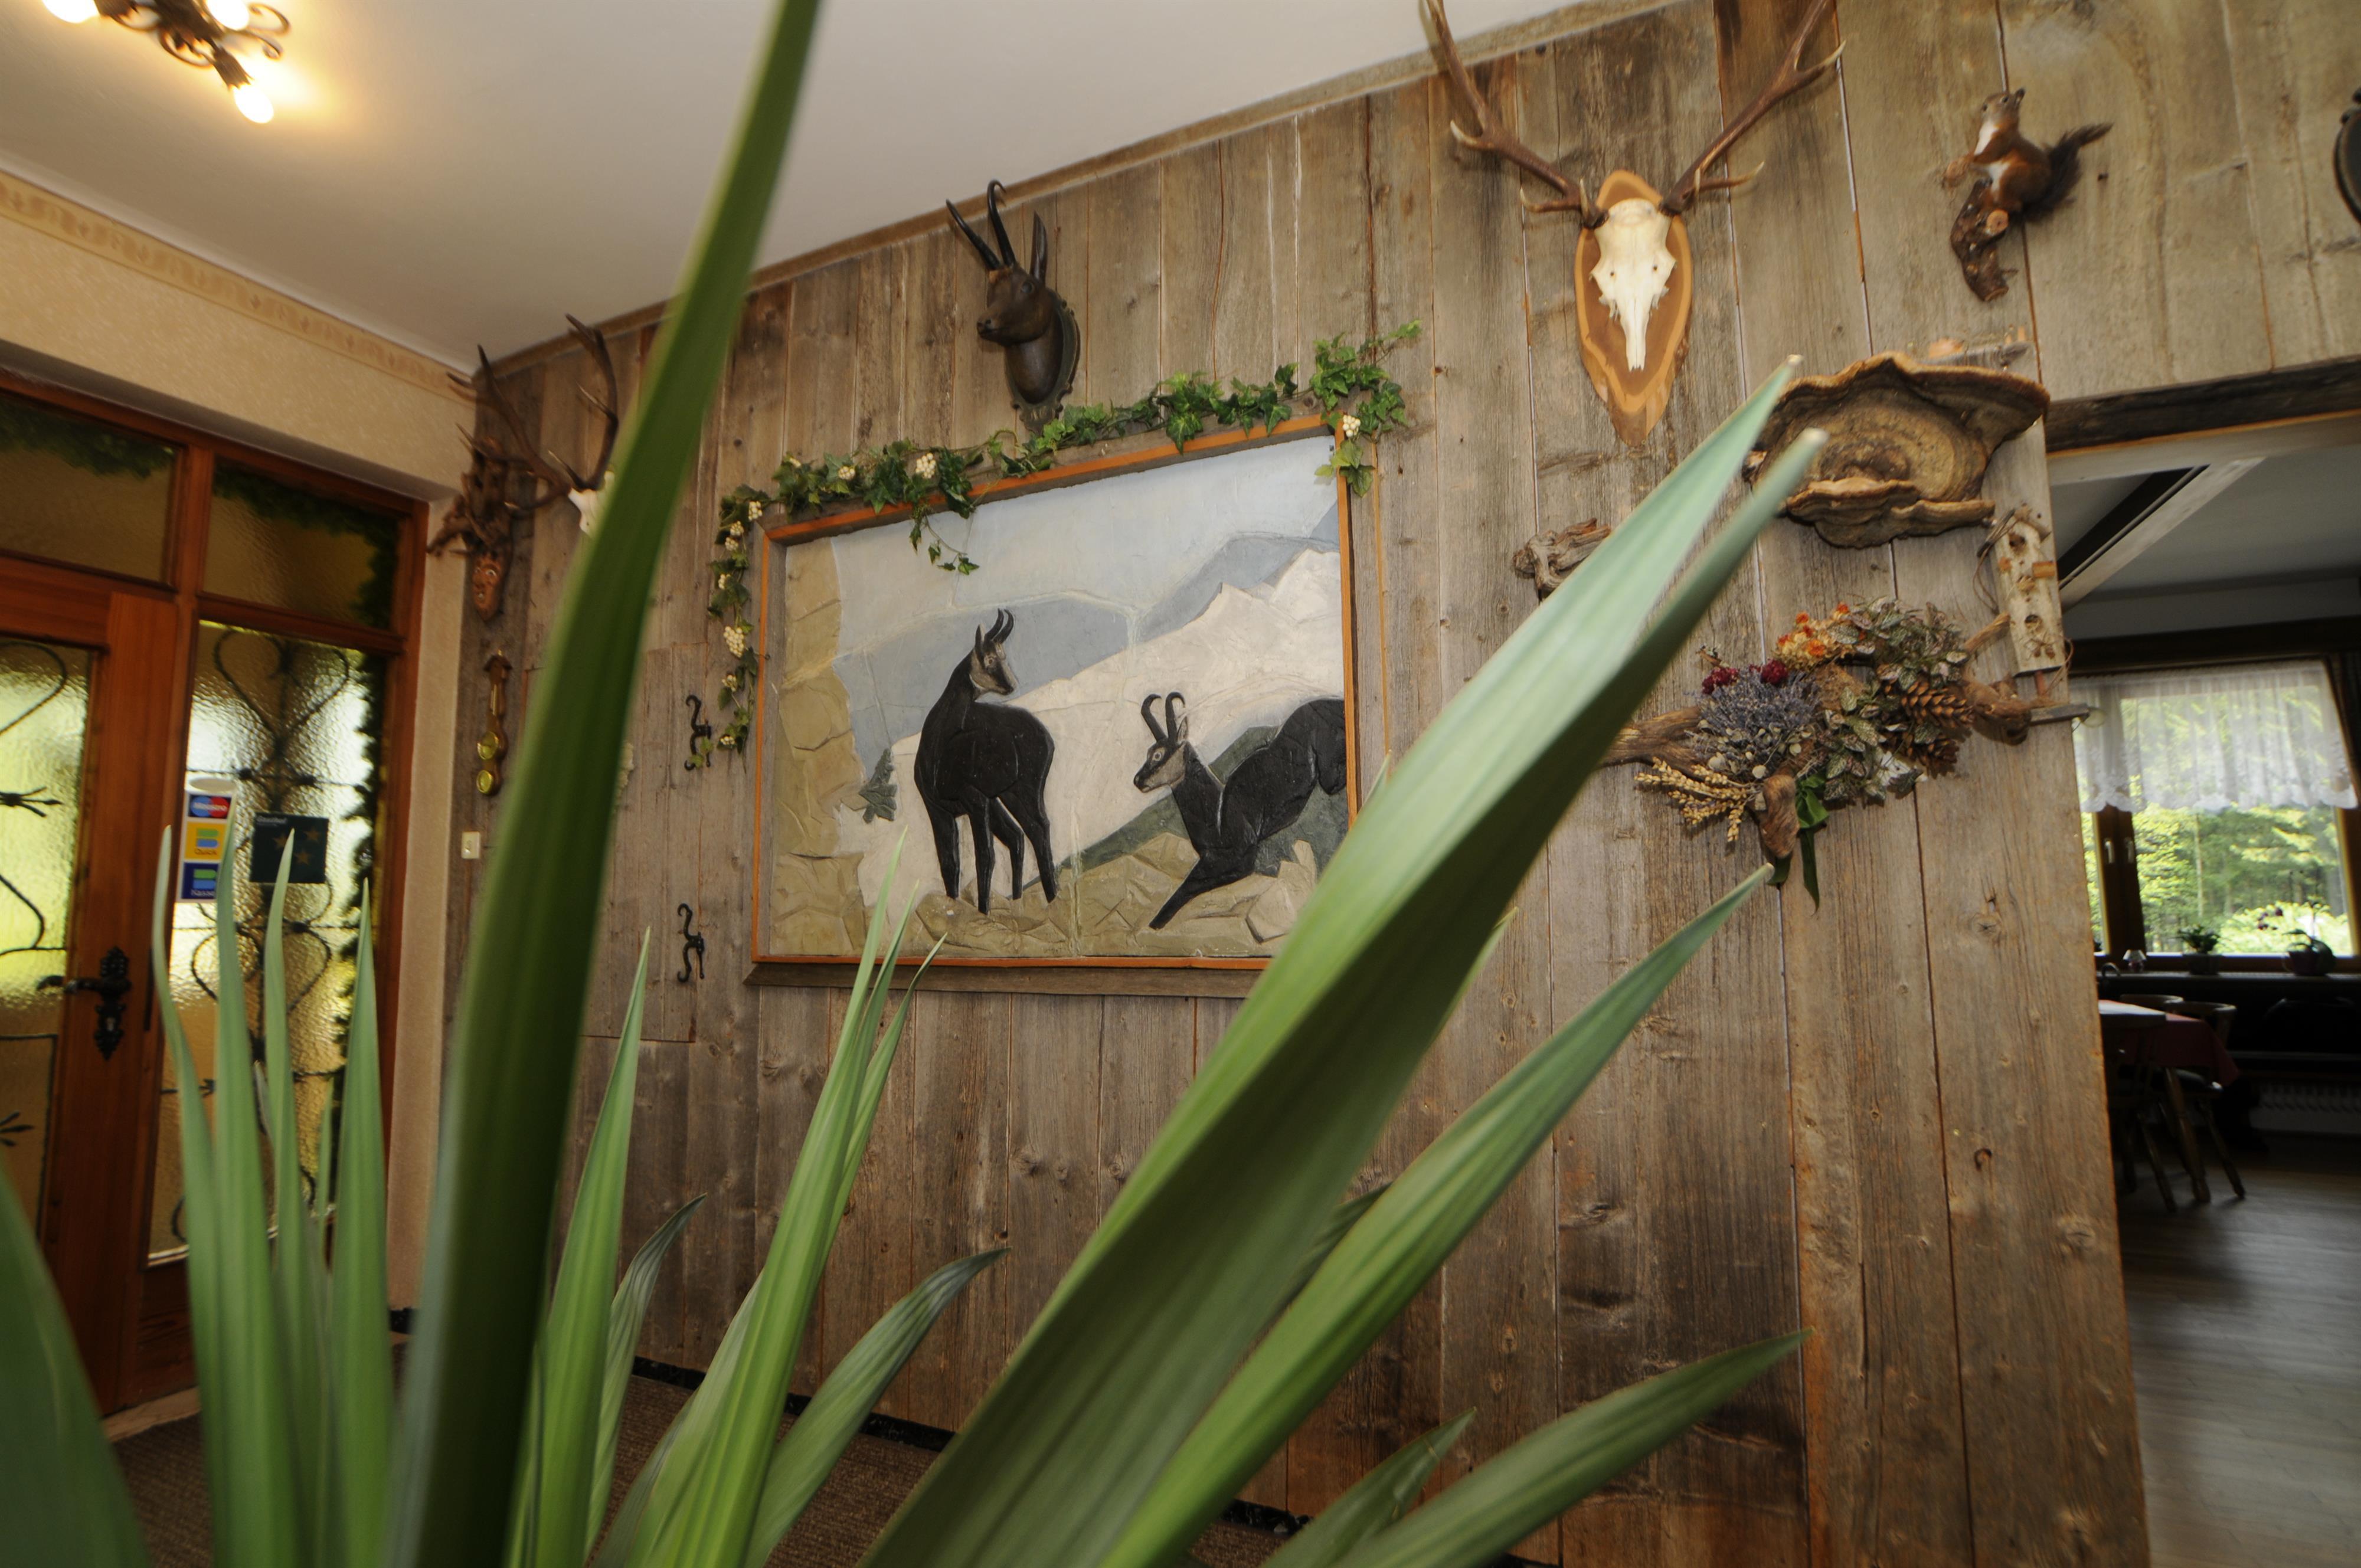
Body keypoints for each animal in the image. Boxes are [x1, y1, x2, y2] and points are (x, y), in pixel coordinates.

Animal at [1944, 89, 2111, 234]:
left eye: (2005, 100)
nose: (1984, 107)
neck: (1991, 127)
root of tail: (2031, 201)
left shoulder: (2003, 143)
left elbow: (1986, 157)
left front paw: (1968, 160)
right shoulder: (1980, 146)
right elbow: (1976, 156)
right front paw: (1963, 159)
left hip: (2013, 178)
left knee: (2010, 205)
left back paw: (1986, 208)